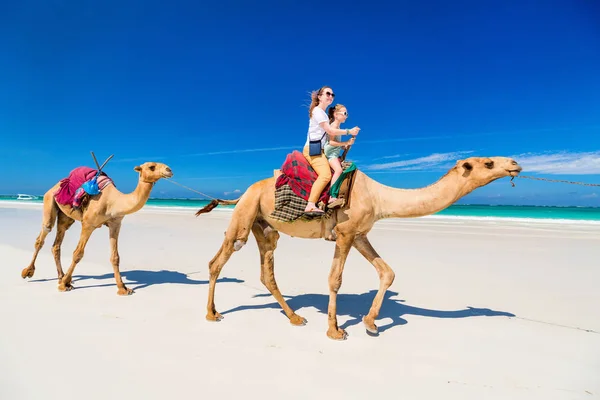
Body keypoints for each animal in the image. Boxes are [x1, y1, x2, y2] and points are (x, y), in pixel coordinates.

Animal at [21, 161, 171, 296]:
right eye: (151, 167)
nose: (169, 170)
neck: (114, 201)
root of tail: (54, 186)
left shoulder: (115, 224)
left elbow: (115, 257)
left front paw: (123, 288)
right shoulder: (88, 224)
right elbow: (78, 254)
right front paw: (64, 285)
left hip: (66, 217)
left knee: (57, 243)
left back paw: (61, 276)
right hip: (49, 201)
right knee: (43, 235)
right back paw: (28, 272)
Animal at [196, 155, 520, 340]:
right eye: (489, 163)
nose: (515, 163)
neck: (379, 197)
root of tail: (241, 194)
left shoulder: (360, 234)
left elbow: (387, 272)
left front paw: (371, 323)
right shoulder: (344, 233)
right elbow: (335, 280)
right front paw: (335, 330)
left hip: (264, 228)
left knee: (267, 272)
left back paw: (295, 317)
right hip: (245, 216)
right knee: (218, 260)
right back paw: (212, 314)